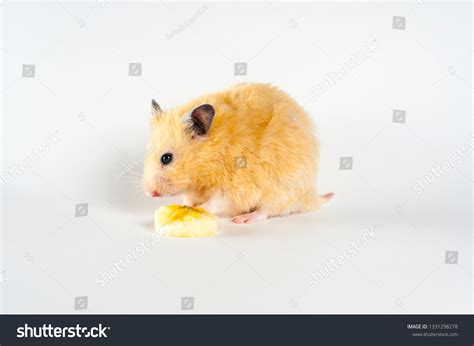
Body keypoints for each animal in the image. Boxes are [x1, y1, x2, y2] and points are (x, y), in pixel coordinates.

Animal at [141, 84, 334, 224]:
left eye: (166, 158)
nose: (150, 193)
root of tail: (310, 196)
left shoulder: (235, 188)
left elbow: (216, 202)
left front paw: (198, 209)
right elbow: (189, 199)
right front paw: (185, 205)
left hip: (282, 190)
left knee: (265, 211)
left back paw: (242, 219)